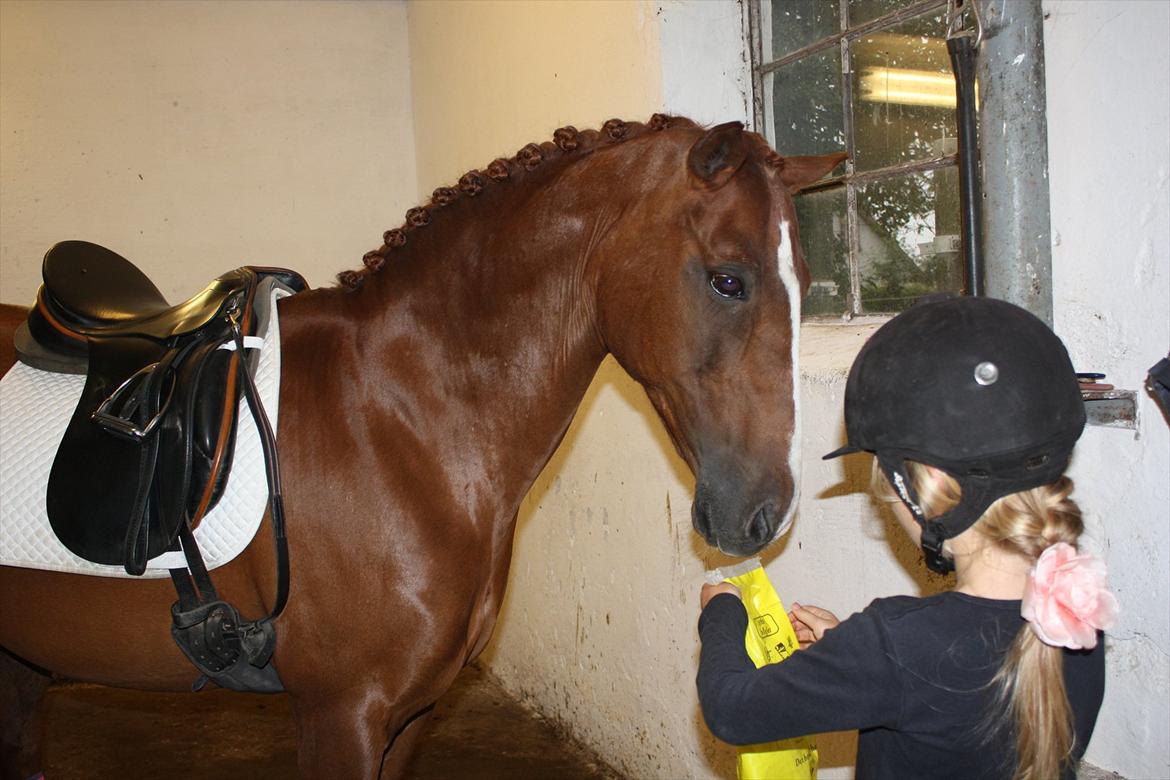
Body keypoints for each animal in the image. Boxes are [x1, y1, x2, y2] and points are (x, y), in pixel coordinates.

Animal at [0, 112, 842, 776]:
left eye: (804, 283)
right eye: (728, 280)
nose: (765, 514)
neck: (395, 421)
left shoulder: (408, 716)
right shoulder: (341, 715)